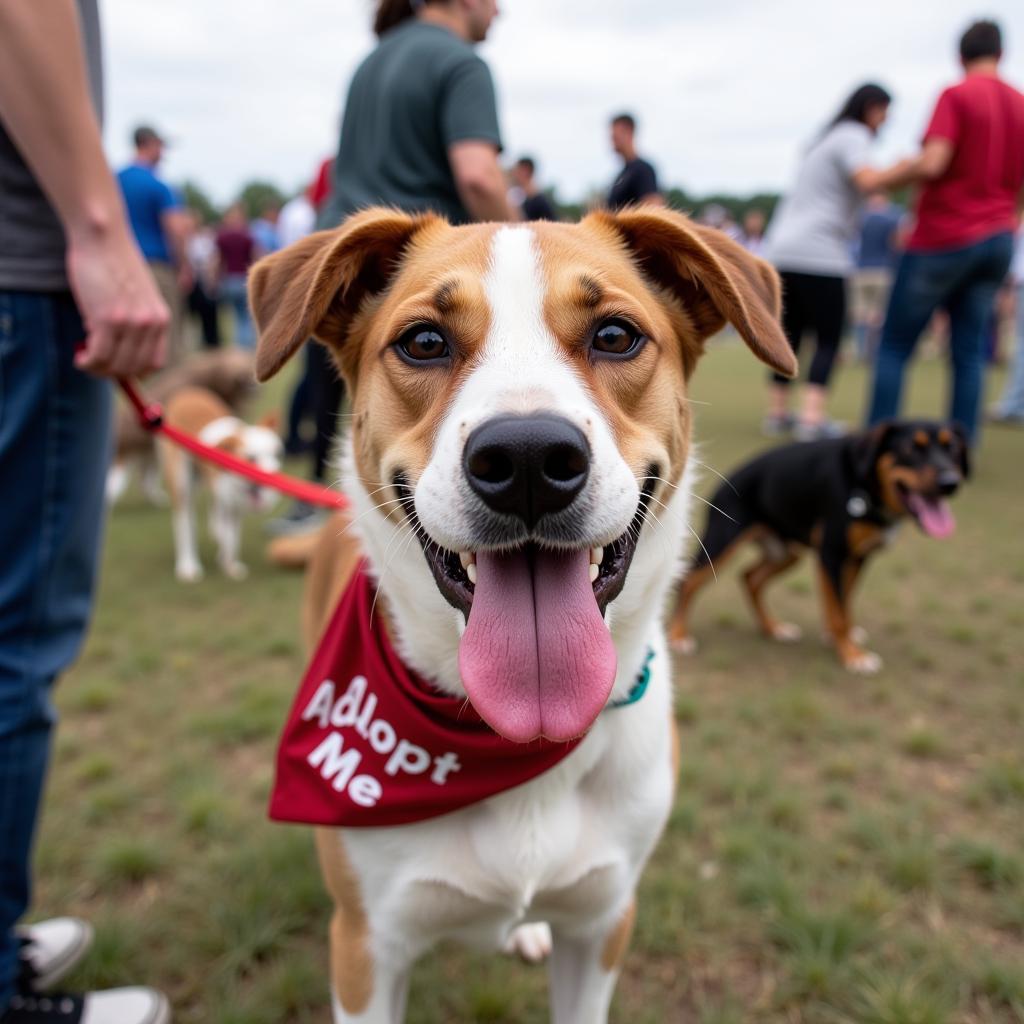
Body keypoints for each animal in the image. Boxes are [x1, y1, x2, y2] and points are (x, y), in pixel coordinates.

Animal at [251, 203, 794, 1019]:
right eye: (424, 342)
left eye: (615, 335)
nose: (529, 458)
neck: (511, 737)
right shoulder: (366, 949)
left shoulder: (604, 925)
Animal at [667, 417, 970, 671]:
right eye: (911, 448)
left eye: (952, 447)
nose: (950, 482)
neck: (862, 483)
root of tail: (731, 477)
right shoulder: (832, 554)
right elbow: (837, 607)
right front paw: (852, 654)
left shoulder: (857, 558)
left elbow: (843, 601)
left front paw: (841, 637)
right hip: (722, 542)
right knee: (688, 581)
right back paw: (678, 635)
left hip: (786, 552)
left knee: (750, 578)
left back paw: (773, 628)